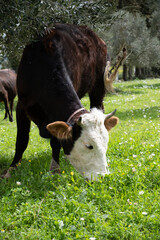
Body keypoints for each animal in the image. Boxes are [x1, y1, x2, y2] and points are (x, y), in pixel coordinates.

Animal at [2, 23, 119, 180]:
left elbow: (55, 141)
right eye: (89, 145)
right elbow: (21, 140)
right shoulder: (21, 106)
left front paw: (54, 169)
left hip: (98, 88)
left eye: (106, 144)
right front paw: (11, 169)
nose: (103, 176)